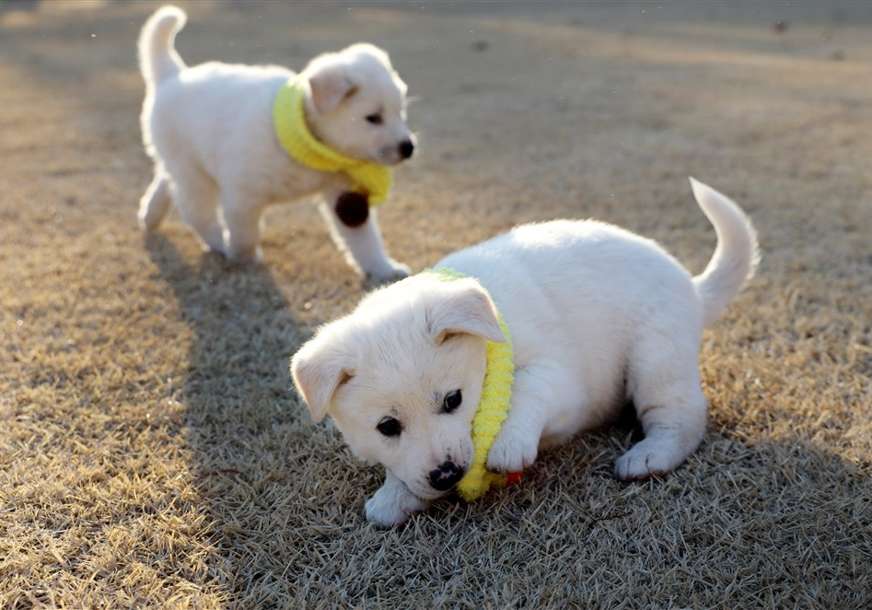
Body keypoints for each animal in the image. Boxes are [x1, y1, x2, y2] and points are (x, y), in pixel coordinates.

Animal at [137, 6, 414, 280]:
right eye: (373, 118)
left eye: (400, 111)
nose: (408, 148)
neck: (305, 141)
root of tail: (173, 75)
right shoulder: (242, 195)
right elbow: (245, 235)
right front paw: (243, 258)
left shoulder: (343, 193)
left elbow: (365, 241)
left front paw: (383, 268)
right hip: (193, 175)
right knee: (195, 212)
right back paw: (218, 241)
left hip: (181, 166)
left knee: (165, 182)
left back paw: (150, 215)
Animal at [291, 179, 759, 526]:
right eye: (387, 427)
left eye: (454, 400)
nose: (447, 476)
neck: (493, 327)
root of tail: (694, 289)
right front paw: (394, 495)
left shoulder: (562, 380)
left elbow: (527, 390)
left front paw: (508, 443)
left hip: (655, 358)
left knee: (683, 418)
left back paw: (649, 456)